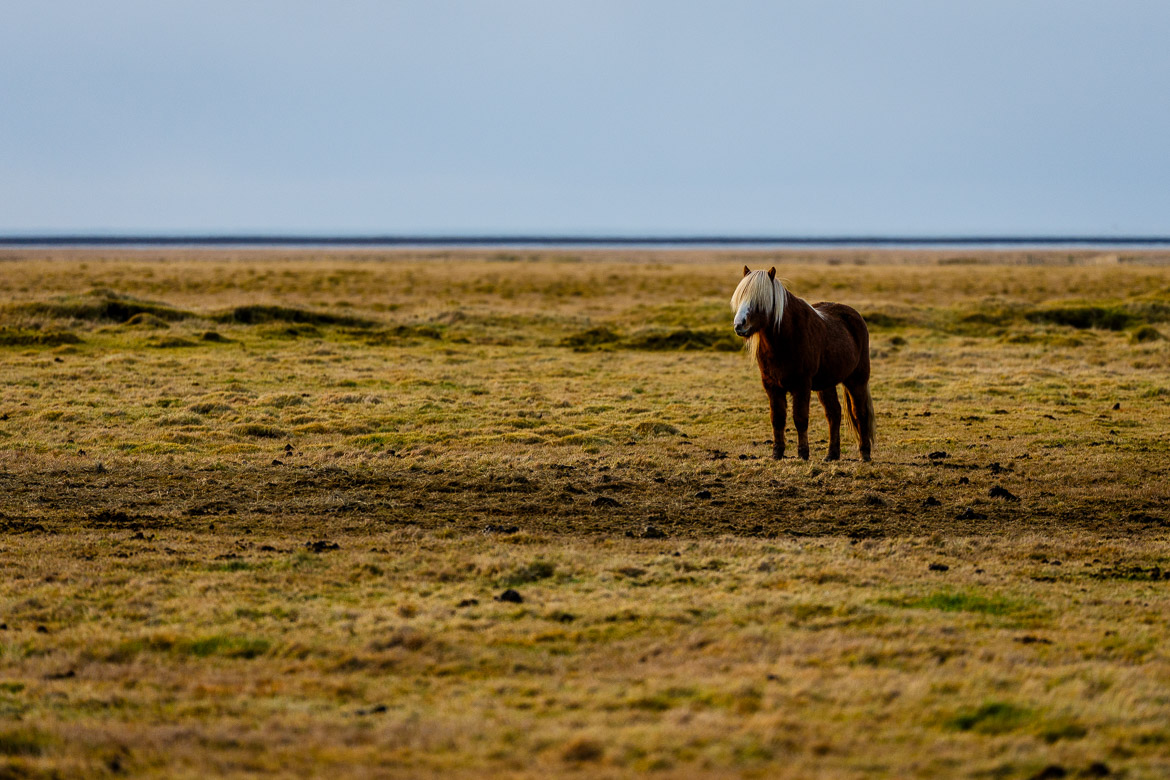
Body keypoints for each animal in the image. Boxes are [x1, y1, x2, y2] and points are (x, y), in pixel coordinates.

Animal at [730, 266, 875, 462]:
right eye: (740, 298)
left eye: (760, 301)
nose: (739, 325)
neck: (784, 341)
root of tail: (854, 315)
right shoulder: (772, 386)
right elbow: (777, 419)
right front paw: (777, 453)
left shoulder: (802, 385)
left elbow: (800, 418)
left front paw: (803, 453)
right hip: (826, 384)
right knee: (834, 414)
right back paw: (832, 454)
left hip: (857, 380)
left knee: (860, 413)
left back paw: (865, 454)